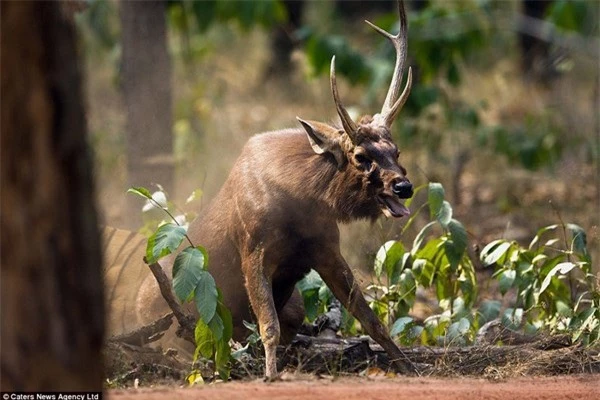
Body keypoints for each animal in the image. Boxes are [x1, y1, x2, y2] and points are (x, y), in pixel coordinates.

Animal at [158, 0, 412, 378]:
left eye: (396, 151)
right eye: (361, 156)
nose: (404, 186)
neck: (300, 203)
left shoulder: (326, 248)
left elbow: (369, 317)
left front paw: (408, 364)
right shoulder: (253, 251)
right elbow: (268, 326)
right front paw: (269, 374)